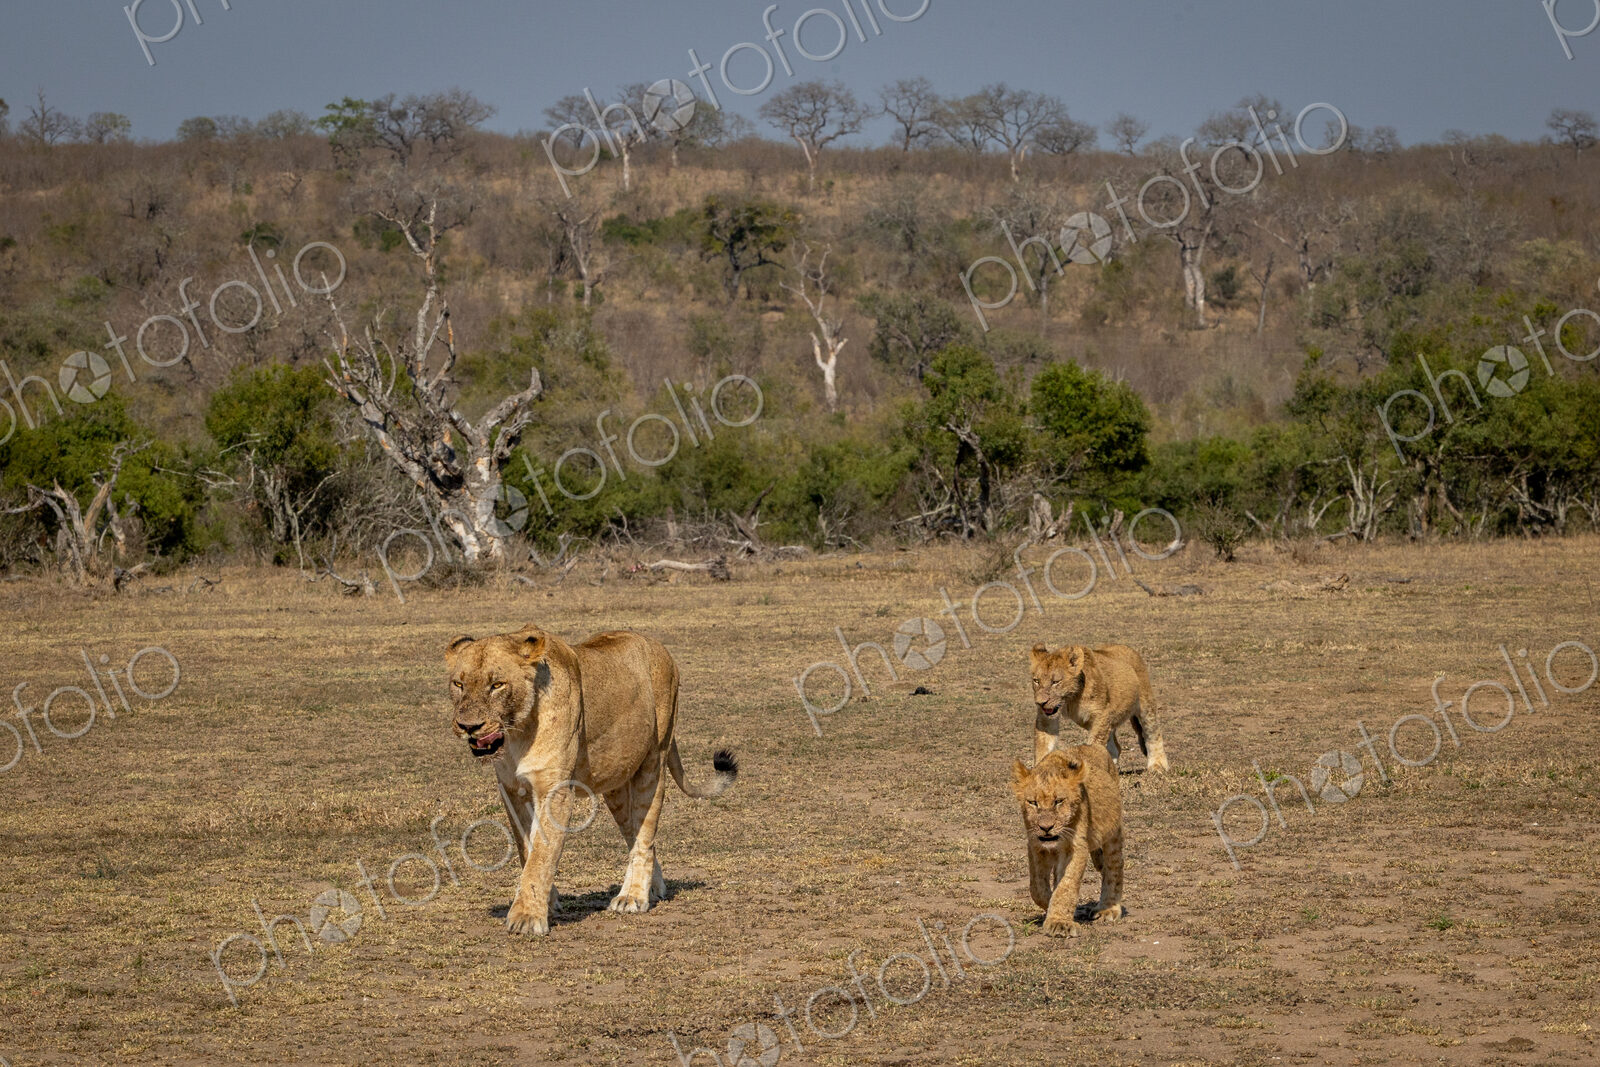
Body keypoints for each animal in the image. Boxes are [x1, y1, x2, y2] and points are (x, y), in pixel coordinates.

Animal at [445, 625, 737, 937]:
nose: (468, 727)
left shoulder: (555, 790)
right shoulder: (512, 789)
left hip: (654, 760)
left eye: (497, 684)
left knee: (644, 835)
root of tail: (661, 649)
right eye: (458, 684)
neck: (517, 733)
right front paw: (546, 902)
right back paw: (653, 888)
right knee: (635, 834)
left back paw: (633, 896)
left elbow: (542, 854)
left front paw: (526, 917)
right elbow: (527, 849)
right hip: (615, 784)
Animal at [1010, 745, 1125, 937]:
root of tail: (1095, 745)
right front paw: (1057, 909)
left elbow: (1066, 885)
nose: (1046, 827)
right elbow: (1037, 887)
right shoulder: (1035, 845)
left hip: (1113, 832)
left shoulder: (1076, 846)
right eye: (1033, 802)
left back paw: (1107, 908)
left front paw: (1059, 922)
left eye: (1059, 801)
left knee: (1114, 867)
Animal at [1029, 643, 1169, 772]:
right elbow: (1043, 746)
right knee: (1116, 747)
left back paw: (1158, 765)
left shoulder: (1101, 714)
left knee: (1153, 733)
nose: (1040, 703)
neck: (1070, 700)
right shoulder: (1046, 719)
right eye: (1036, 681)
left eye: (1055, 682)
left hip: (1146, 705)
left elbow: (1094, 744)